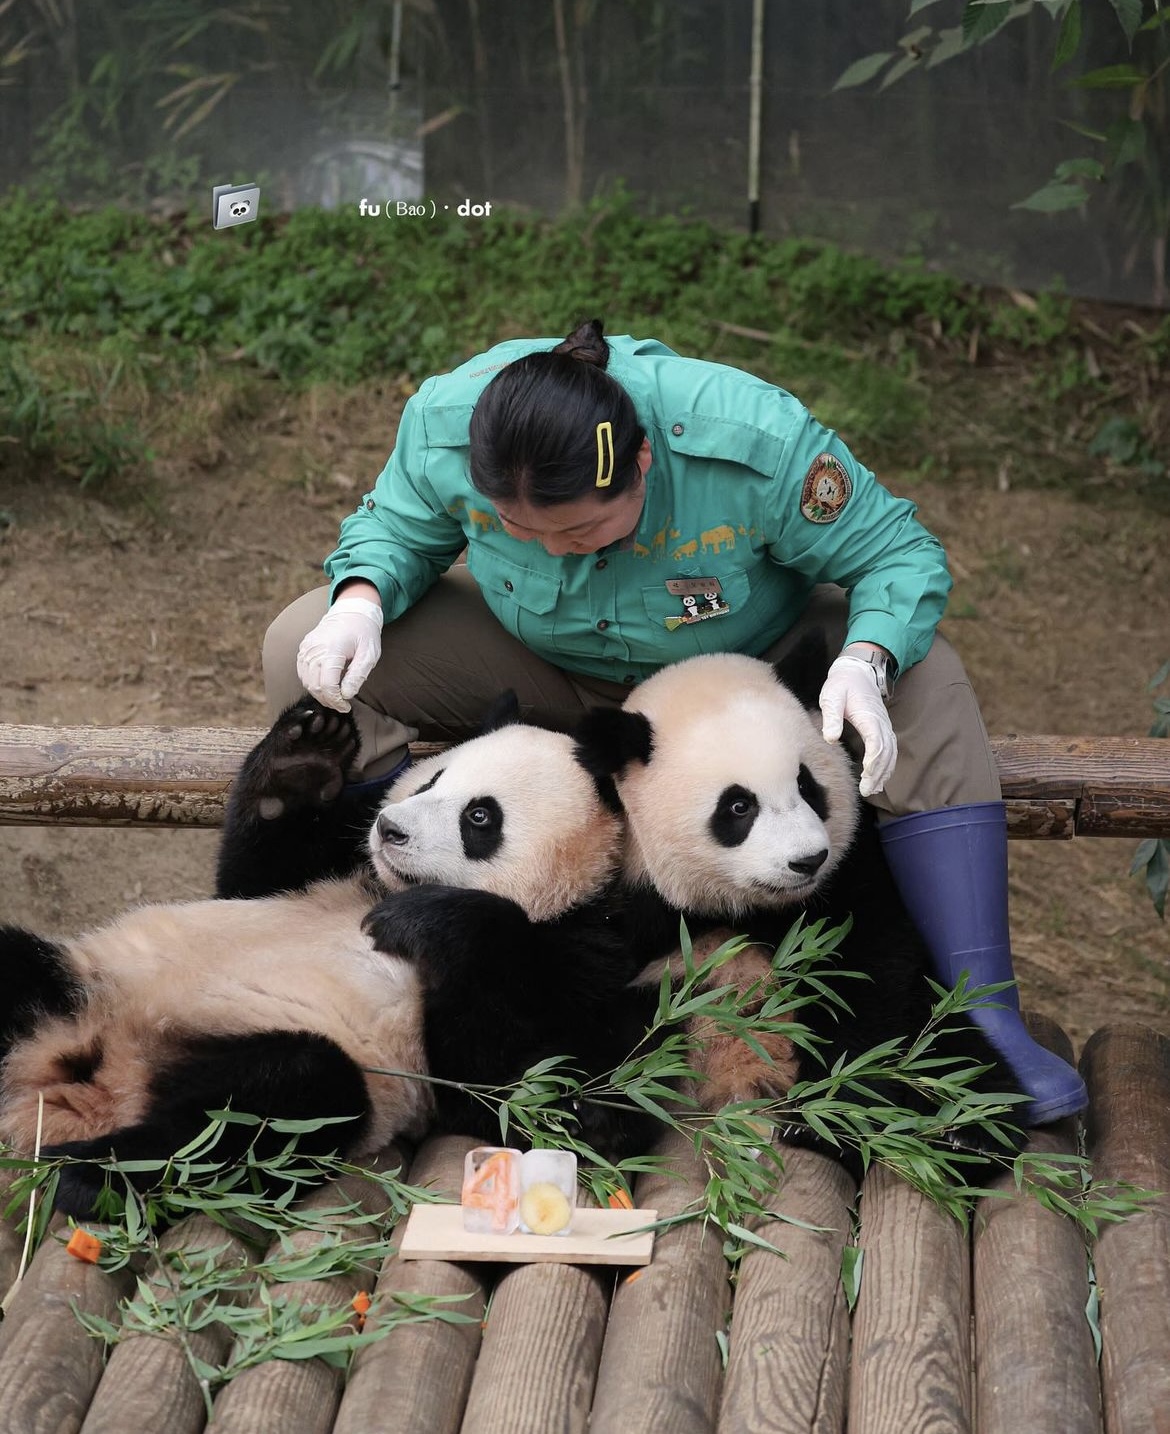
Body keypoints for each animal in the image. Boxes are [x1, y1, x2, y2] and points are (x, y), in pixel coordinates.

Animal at [0, 694, 659, 1210]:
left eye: (480, 816)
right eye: (432, 778)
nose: (390, 830)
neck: (382, 886)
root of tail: (88, 1082)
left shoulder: (584, 953)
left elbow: (517, 1087)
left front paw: (433, 921)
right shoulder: (326, 867)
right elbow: (251, 878)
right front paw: (300, 764)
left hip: (282, 1073)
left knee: (274, 1103)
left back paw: (87, 1175)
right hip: (84, 977)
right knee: (19, 964)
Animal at [573, 645, 1020, 1158]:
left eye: (807, 786)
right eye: (738, 806)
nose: (807, 861)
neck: (752, 908)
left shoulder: (852, 875)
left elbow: (866, 979)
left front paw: (823, 1112)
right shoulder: (635, 905)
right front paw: (600, 1111)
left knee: (951, 1052)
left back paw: (970, 1130)